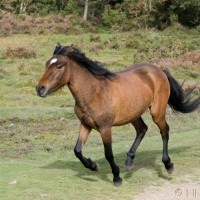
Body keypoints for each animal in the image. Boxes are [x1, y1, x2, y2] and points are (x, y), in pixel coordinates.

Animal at [36, 43, 200, 186]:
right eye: (46, 64)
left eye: (59, 66)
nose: (39, 88)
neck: (95, 92)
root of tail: (160, 71)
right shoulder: (85, 124)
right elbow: (77, 150)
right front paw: (93, 166)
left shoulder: (105, 128)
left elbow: (108, 153)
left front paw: (116, 177)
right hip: (133, 114)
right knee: (142, 129)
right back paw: (129, 161)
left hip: (156, 111)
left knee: (164, 131)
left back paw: (168, 165)